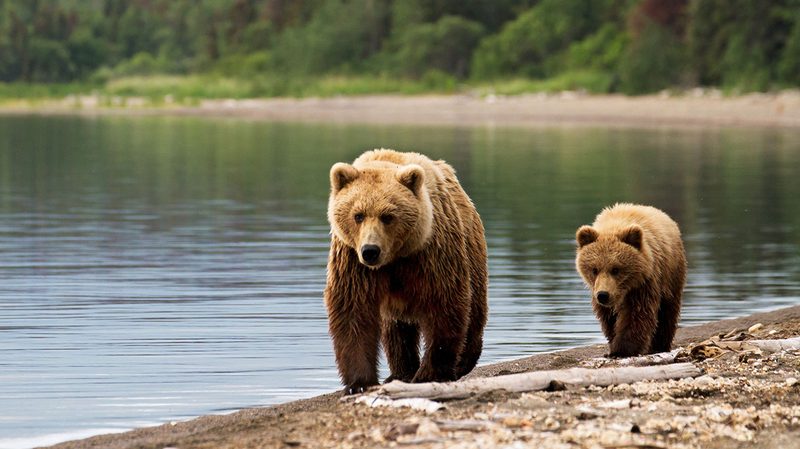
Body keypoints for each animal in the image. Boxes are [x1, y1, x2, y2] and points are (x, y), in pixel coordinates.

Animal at [324, 148, 488, 395]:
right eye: (358, 215)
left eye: (388, 216)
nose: (370, 251)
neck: (394, 258)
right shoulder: (353, 262)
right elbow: (353, 311)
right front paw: (359, 382)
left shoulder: (429, 254)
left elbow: (444, 304)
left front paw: (430, 373)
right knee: (395, 331)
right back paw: (400, 372)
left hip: (472, 252)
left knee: (474, 310)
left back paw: (463, 361)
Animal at [575, 203, 687, 358]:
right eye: (594, 269)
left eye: (616, 269)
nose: (603, 295)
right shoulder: (599, 290)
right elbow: (609, 318)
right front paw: (613, 342)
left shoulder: (644, 283)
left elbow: (637, 314)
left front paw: (622, 349)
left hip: (671, 275)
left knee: (667, 311)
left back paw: (659, 346)